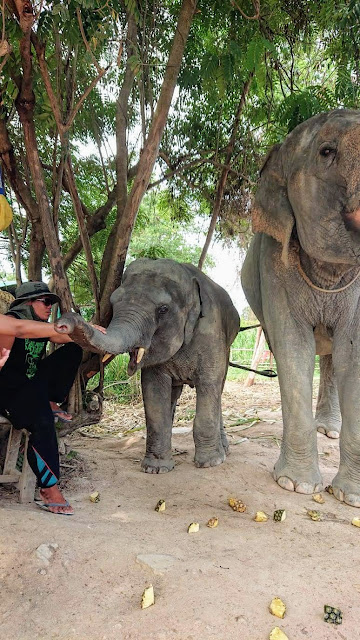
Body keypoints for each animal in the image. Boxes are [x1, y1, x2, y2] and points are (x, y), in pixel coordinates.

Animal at [56, 258, 240, 472]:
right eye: (113, 302)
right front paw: (155, 469)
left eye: (163, 309)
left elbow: (208, 384)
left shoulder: (211, 333)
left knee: (218, 388)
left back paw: (223, 451)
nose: (62, 323)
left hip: (228, 347)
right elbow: (154, 390)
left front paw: (210, 463)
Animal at [240, 111, 360, 510]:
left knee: (333, 359)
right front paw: (296, 486)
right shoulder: (273, 264)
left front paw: (350, 497)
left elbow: (353, 357)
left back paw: (329, 429)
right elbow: (294, 349)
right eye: (326, 151)